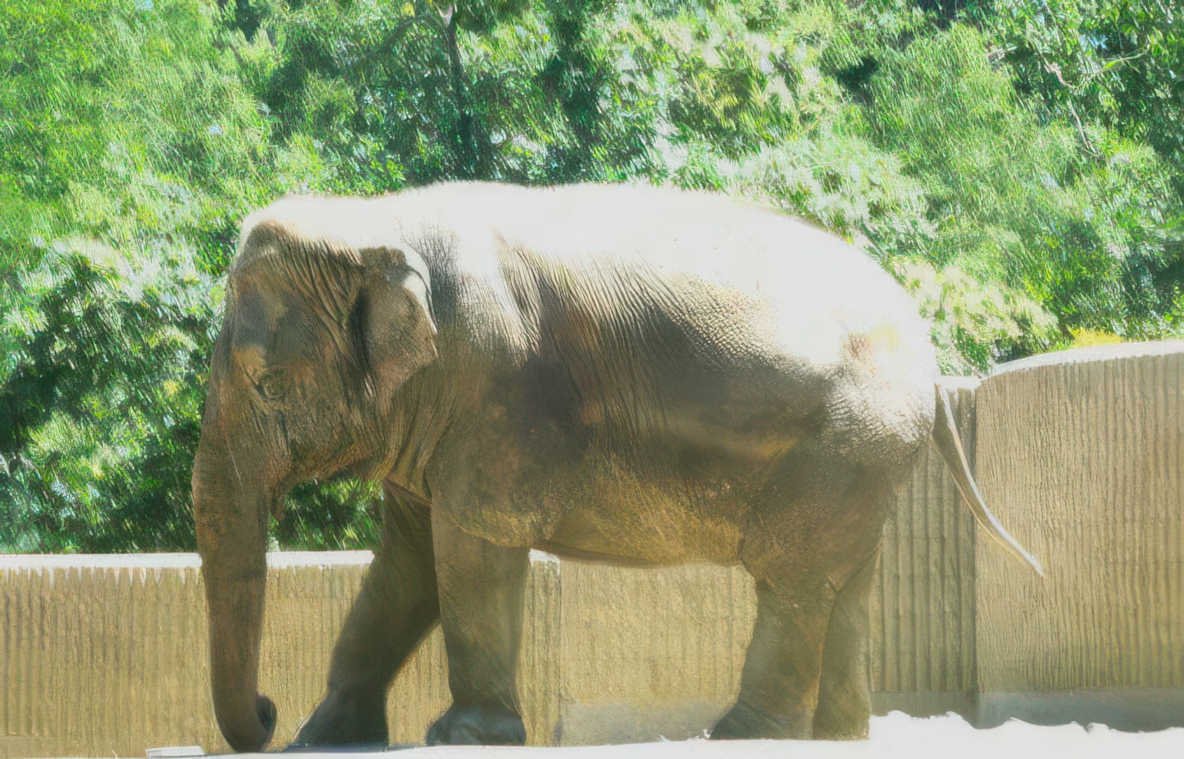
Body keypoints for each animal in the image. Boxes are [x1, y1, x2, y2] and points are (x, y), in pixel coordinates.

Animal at [191, 181, 1040, 752]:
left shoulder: (493, 386)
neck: (373, 222)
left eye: (267, 384)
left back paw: (738, 735)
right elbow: (404, 565)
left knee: (791, 579)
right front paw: (325, 738)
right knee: (843, 585)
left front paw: (463, 736)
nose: (265, 709)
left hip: (842, 444)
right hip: (864, 458)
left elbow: (470, 551)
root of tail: (930, 359)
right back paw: (836, 736)